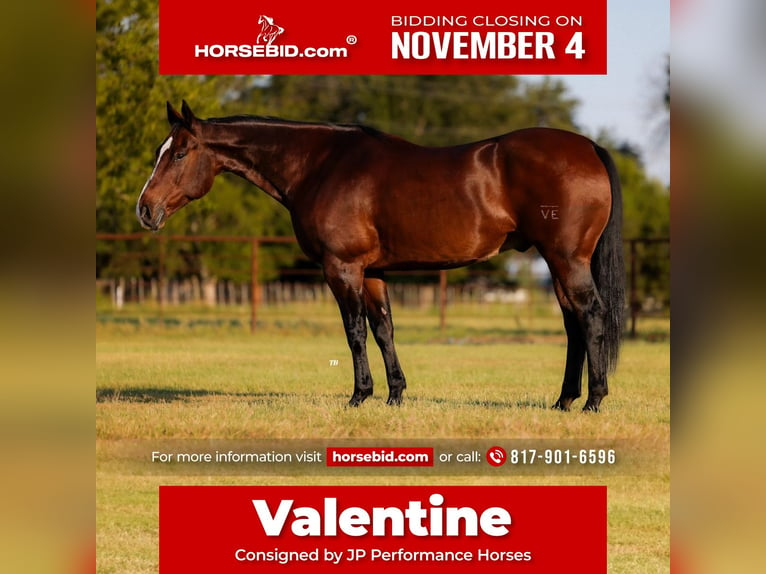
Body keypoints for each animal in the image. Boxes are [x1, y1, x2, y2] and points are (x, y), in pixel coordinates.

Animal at [136, 101, 624, 412]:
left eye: (179, 153)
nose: (145, 209)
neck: (320, 165)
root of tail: (588, 146)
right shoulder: (373, 272)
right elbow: (384, 329)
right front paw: (394, 394)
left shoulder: (343, 268)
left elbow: (354, 332)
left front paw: (359, 395)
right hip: (558, 262)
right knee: (573, 323)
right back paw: (563, 400)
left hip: (566, 259)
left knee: (591, 315)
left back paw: (593, 400)